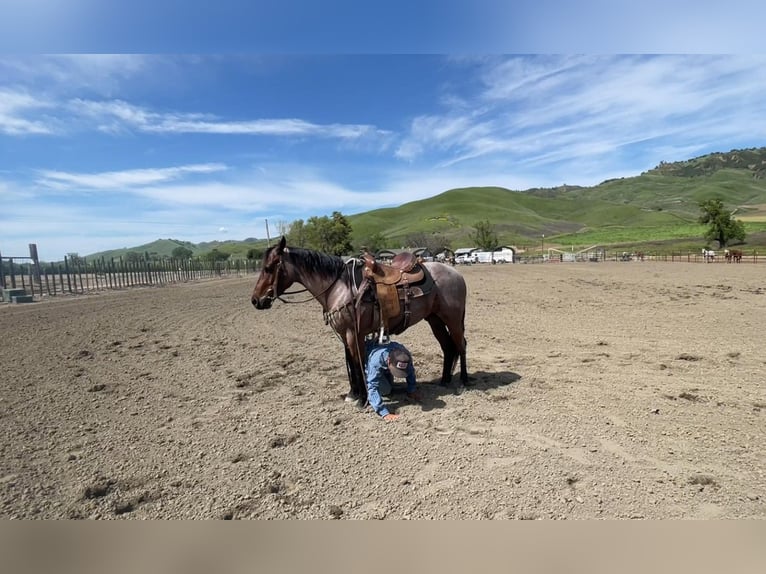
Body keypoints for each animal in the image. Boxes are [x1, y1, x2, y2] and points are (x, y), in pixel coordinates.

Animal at [252, 238, 468, 410]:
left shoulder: (353, 333)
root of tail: (455, 273)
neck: (339, 288)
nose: (256, 300)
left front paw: (362, 399)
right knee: (448, 347)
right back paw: (444, 380)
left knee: (461, 344)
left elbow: (357, 363)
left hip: (453, 318)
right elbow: (349, 361)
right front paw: (353, 394)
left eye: (269, 268)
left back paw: (463, 381)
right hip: (435, 319)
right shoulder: (344, 334)